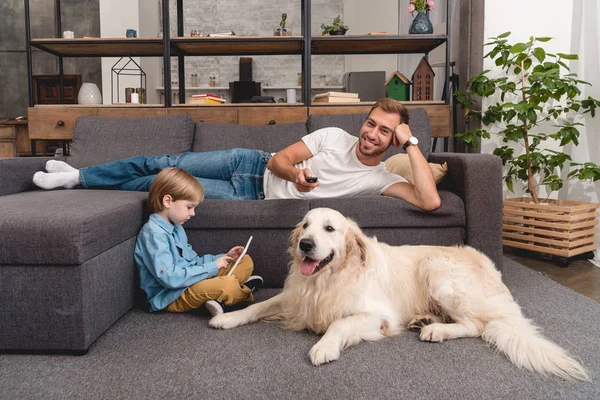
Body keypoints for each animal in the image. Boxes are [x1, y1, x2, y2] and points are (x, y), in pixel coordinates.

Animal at [209, 208, 588, 380]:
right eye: (305, 225)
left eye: (329, 228)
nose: (305, 244)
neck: (327, 281)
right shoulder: (295, 298)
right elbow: (259, 306)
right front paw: (229, 318)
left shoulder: (378, 316)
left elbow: (339, 324)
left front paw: (323, 347)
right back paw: (424, 320)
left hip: (437, 270)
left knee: (476, 325)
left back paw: (436, 330)